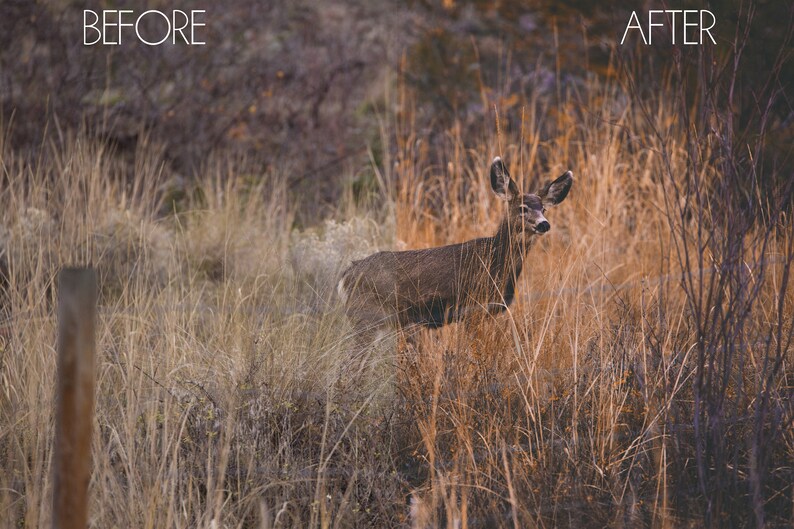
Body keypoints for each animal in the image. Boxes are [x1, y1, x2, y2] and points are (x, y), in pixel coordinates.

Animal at [338, 157, 573, 345]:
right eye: (522, 208)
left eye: (543, 208)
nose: (544, 224)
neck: (494, 261)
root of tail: (346, 277)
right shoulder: (472, 308)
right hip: (368, 316)